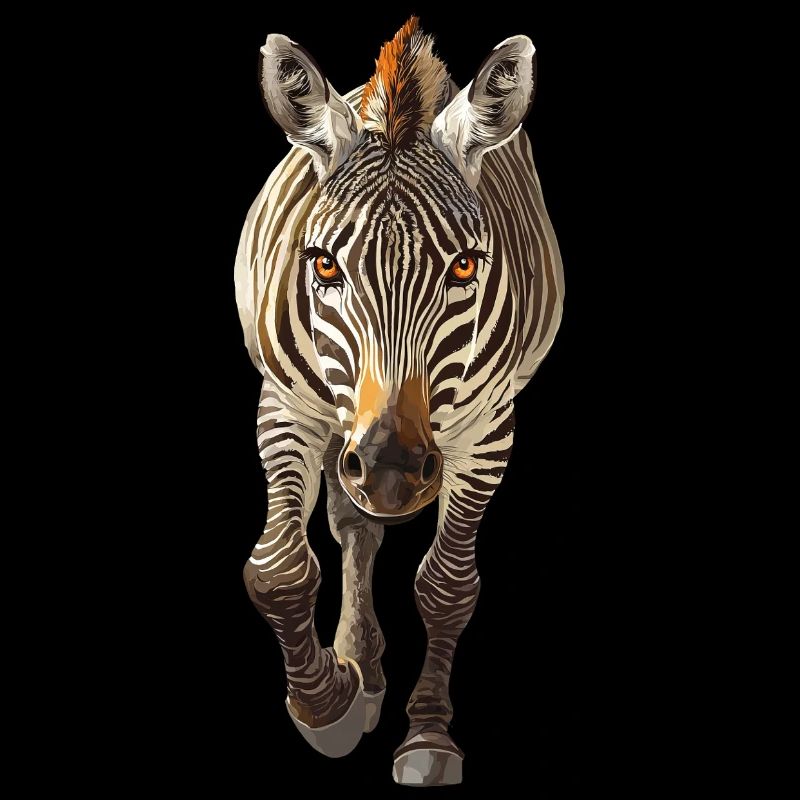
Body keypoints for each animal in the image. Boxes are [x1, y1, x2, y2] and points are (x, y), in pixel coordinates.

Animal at [234, 17, 564, 787]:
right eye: (324, 264)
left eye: (465, 267)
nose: (390, 468)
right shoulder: (287, 406)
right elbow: (277, 569)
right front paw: (326, 705)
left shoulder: (487, 430)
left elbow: (447, 587)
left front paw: (428, 736)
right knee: (353, 526)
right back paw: (358, 670)